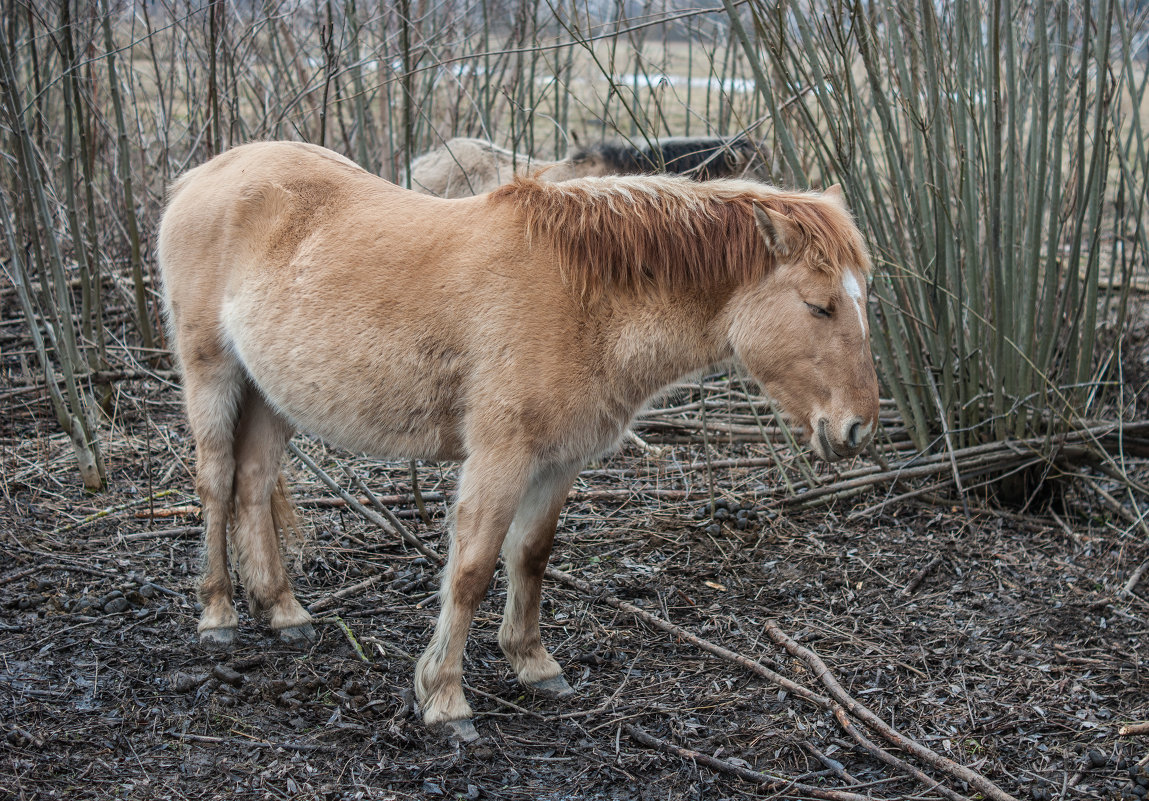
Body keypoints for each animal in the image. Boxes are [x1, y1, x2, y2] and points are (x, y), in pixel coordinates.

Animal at [159, 137, 877, 735]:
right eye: (818, 305)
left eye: (859, 297)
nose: (857, 427)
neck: (583, 297)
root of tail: (205, 175)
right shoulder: (501, 456)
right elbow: (473, 569)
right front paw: (444, 698)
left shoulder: (559, 462)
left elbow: (529, 556)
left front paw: (533, 664)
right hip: (212, 373)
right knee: (216, 483)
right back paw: (218, 616)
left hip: (272, 393)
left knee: (253, 486)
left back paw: (283, 612)